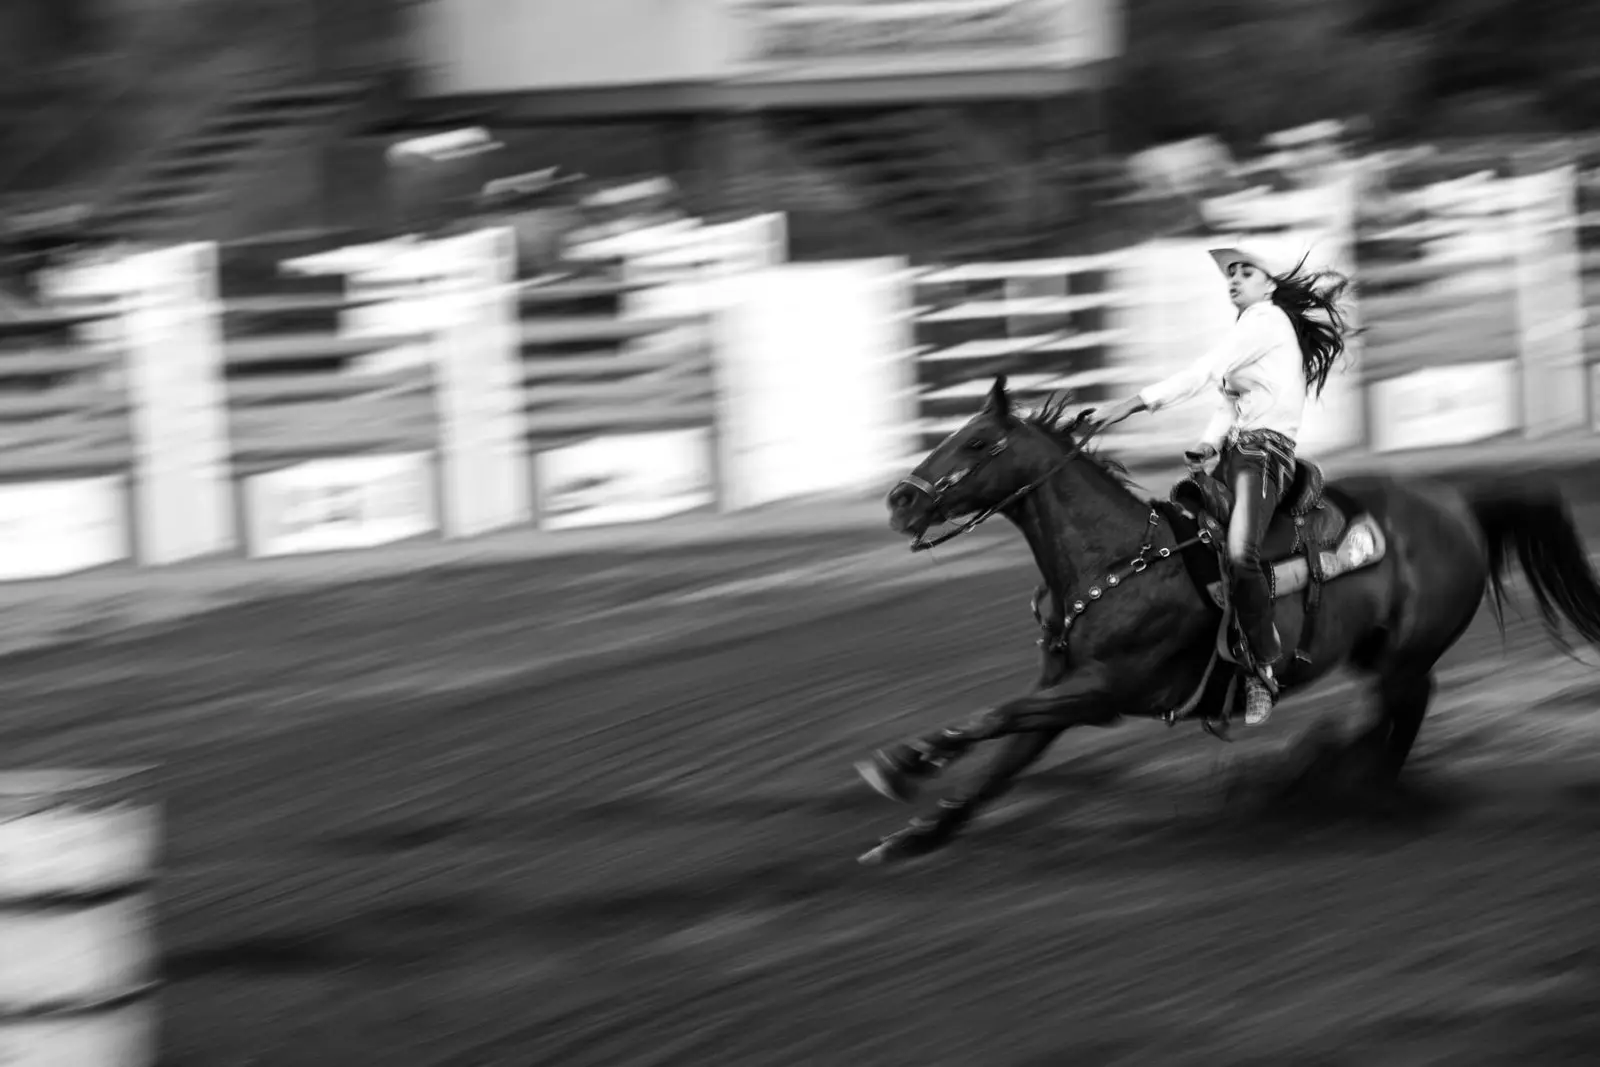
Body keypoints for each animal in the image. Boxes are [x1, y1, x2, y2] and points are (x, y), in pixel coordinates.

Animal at [857, 375, 1600, 870]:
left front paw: (901, 763)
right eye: (952, 434)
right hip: (1378, 651)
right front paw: (916, 834)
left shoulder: (1104, 690)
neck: (1117, 558)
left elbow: (994, 715)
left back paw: (1351, 789)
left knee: (1403, 708)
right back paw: (1329, 777)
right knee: (1390, 710)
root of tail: (1459, 503)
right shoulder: (1063, 690)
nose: (899, 500)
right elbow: (1002, 758)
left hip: (1406, 653)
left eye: (978, 442)